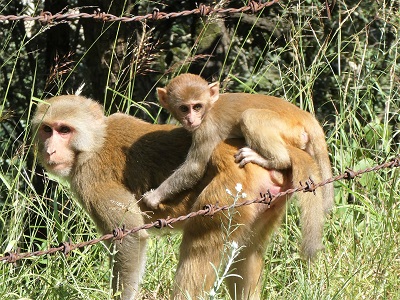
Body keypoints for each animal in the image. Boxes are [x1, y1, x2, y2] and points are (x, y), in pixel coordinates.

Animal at [32, 95, 328, 298]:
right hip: (262, 202)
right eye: (47, 129)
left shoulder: (90, 180)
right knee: (246, 252)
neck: (93, 143)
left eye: (64, 130)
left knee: (198, 247)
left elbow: (130, 238)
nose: (49, 150)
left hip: (228, 194)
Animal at [142, 72, 332, 212]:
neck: (209, 107)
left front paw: (154, 196)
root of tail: (304, 115)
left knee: (251, 117)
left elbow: (194, 168)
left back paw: (272, 160)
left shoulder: (206, 129)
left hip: (289, 129)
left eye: (197, 107)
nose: (191, 120)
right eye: (183, 108)